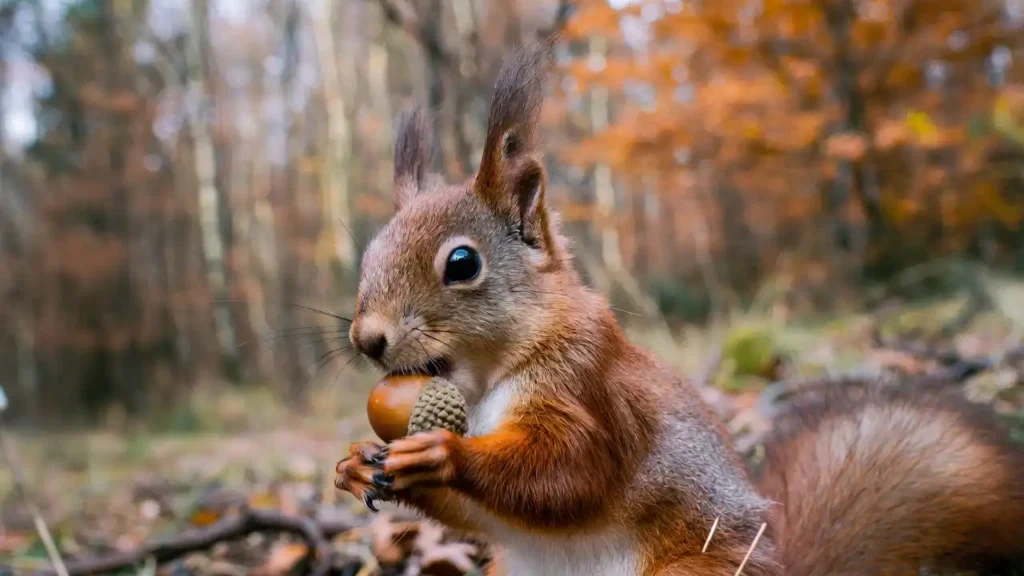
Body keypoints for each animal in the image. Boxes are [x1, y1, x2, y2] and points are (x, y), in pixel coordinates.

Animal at [335, 37, 1024, 576]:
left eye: (462, 264)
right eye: (369, 252)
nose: (366, 340)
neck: (484, 384)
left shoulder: (588, 385)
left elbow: (568, 475)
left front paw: (442, 455)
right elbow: (486, 517)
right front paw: (357, 463)